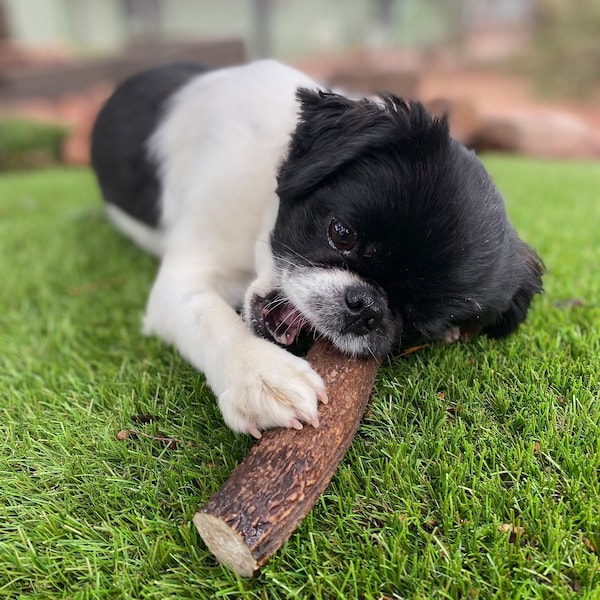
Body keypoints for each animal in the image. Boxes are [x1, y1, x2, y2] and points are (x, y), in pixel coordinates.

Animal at [89, 59, 544, 436]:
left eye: (419, 322)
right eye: (341, 234)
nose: (366, 306)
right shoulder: (185, 276)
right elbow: (211, 318)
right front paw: (260, 376)